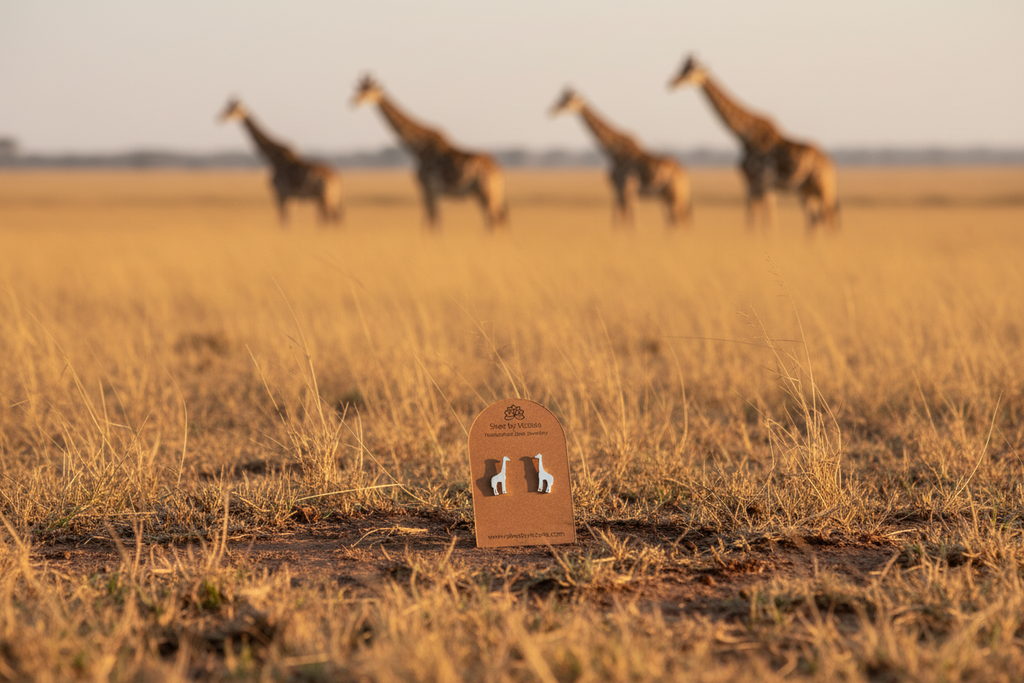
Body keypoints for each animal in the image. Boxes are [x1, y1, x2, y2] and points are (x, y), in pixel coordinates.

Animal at [352, 76, 507, 230]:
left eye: (368, 91)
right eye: (358, 89)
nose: (353, 101)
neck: (418, 148)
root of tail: (497, 170)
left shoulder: (428, 189)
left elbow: (432, 223)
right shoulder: (430, 191)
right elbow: (432, 222)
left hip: (487, 192)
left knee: (494, 221)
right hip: (488, 194)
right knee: (494, 221)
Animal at [550, 88, 691, 227]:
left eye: (567, 102)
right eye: (561, 99)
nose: (552, 110)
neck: (613, 152)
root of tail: (682, 172)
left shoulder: (627, 189)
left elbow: (630, 221)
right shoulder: (617, 189)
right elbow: (617, 220)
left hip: (674, 194)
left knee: (679, 219)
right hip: (668, 195)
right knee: (676, 220)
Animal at [669, 56, 838, 232]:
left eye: (690, 72)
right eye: (681, 68)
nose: (672, 82)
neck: (744, 136)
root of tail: (830, 165)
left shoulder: (760, 182)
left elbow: (761, 221)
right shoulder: (755, 184)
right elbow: (756, 220)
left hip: (823, 188)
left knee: (827, 218)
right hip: (807, 190)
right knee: (815, 219)